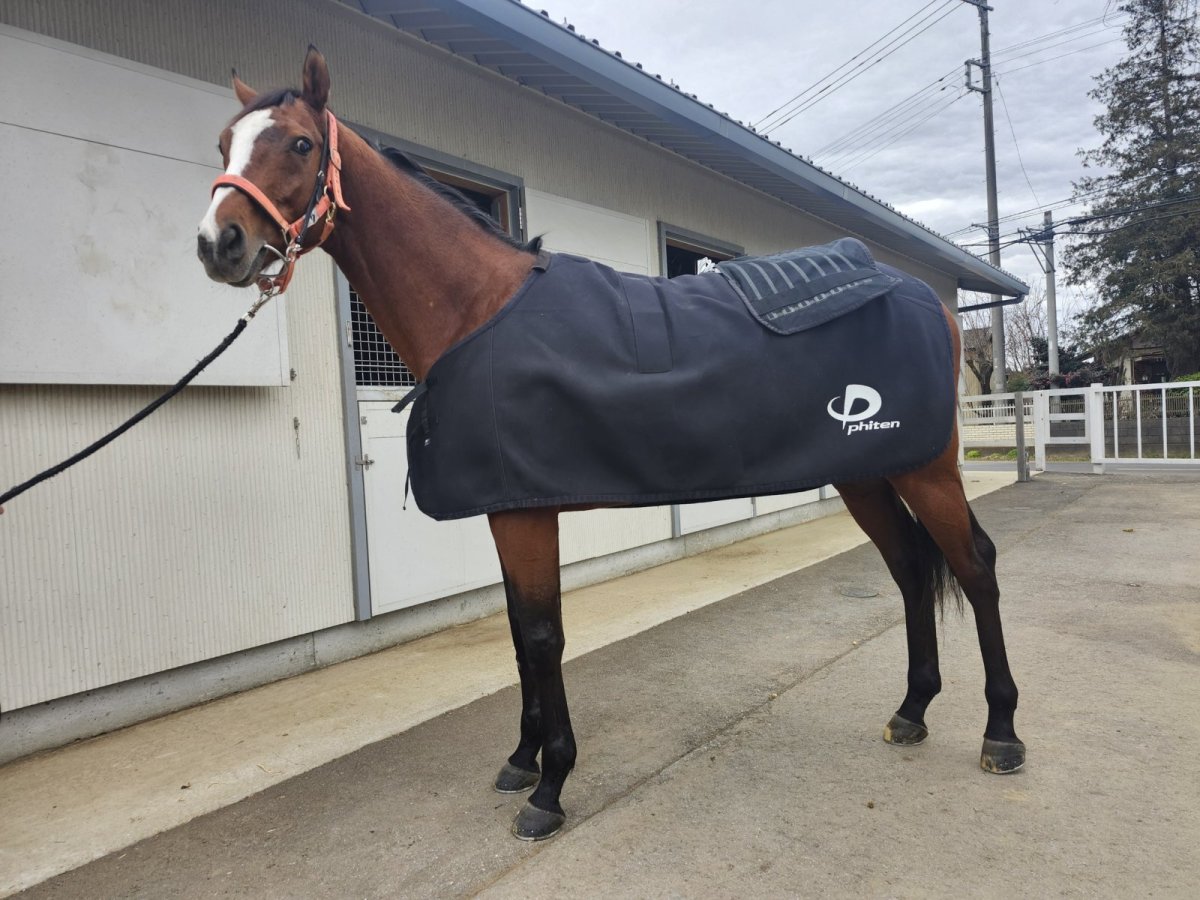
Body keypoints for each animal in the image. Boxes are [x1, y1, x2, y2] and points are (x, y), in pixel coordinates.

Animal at [196, 48, 1024, 842]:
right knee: (910, 568)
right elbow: (516, 633)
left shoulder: (527, 515)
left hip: (926, 469)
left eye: (300, 143)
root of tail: (922, 299)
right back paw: (912, 712)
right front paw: (522, 759)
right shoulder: (507, 509)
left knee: (975, 566)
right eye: (223, 143)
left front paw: (550, 788)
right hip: (866, 473)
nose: (218, 245)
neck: (477, 309)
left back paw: (1001, 733)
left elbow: (540, 636)